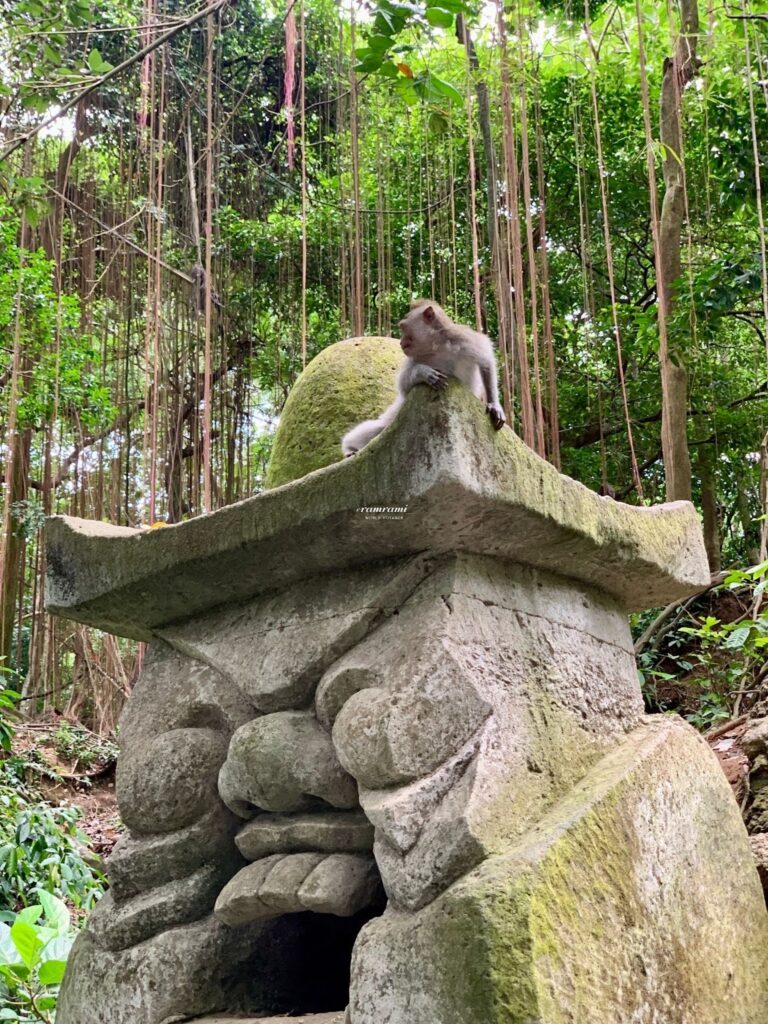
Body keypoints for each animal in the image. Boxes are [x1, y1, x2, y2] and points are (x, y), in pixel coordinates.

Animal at [341, 299, 506, 456]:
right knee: (377, 428)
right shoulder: (413, 357)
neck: (436, 345)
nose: (400, 342)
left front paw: (494, 405)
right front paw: (424, 373)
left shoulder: (463, 339)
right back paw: (349, 449)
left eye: (403, 327)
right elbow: (404, 385)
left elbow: (486, 360)